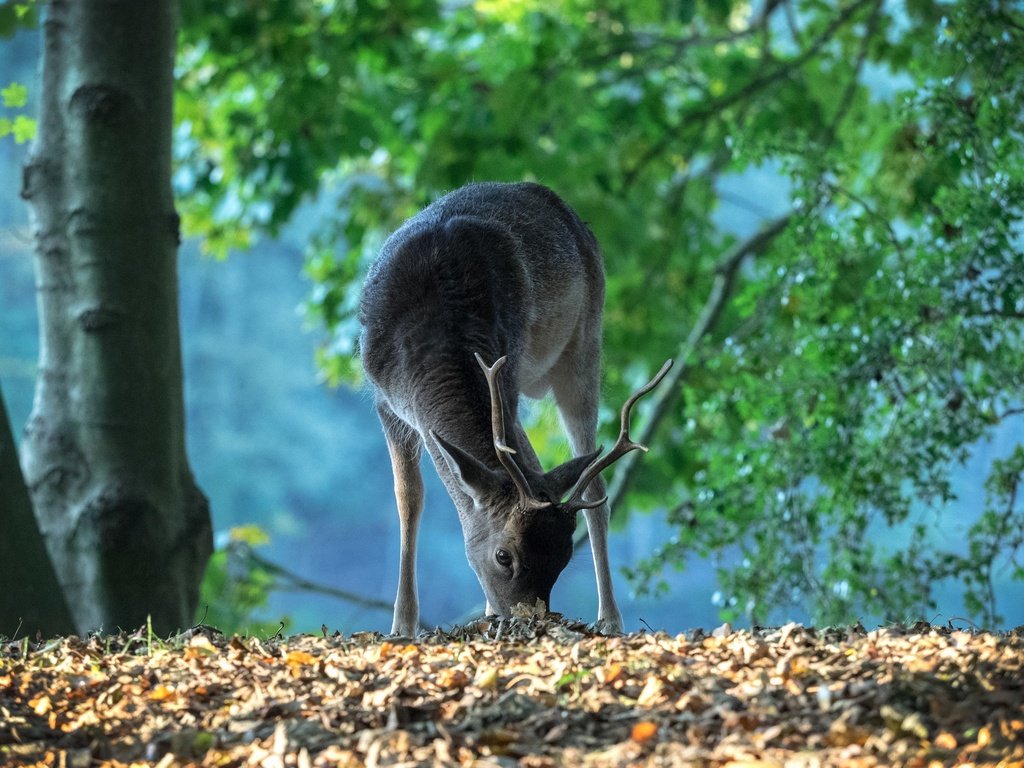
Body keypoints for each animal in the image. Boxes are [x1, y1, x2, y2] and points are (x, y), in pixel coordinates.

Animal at [360, 182, 671, 638]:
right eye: (503, 556)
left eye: (563, 558)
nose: (529, 621)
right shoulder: (385, 402)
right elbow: (408, 499)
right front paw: (402, 625)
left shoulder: (505, 371)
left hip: (585, 343)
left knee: (596, 491)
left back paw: (610, 618)